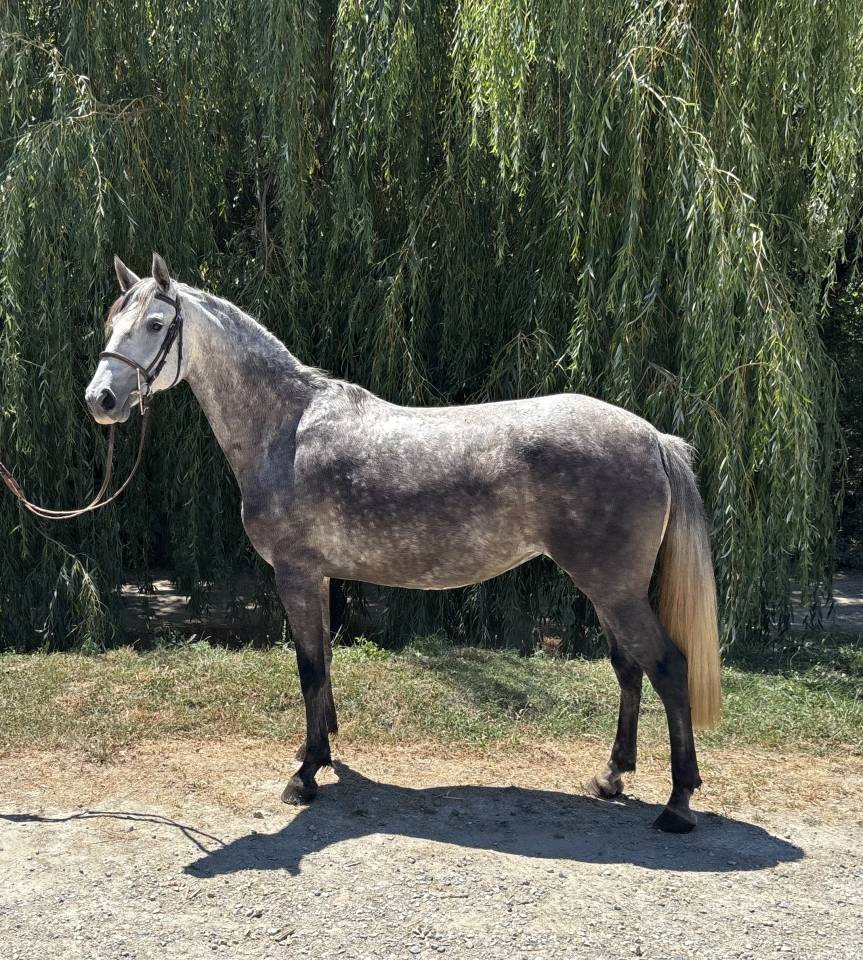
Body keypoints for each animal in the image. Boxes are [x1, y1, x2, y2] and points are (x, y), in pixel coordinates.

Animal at [85, 253, 722, 833]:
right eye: (112, 321)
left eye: (156, 324)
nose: (101, 400)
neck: (288, 427)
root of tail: (652, 436)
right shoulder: (320, 577)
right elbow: (324, 662)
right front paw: (319, 750)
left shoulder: (295, 573)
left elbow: (309, 667)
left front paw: (305, 775)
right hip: (608, 590)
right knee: (629, 670)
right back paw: (612, 777)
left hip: (613, 589)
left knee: (668, 668)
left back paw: (678, 804)